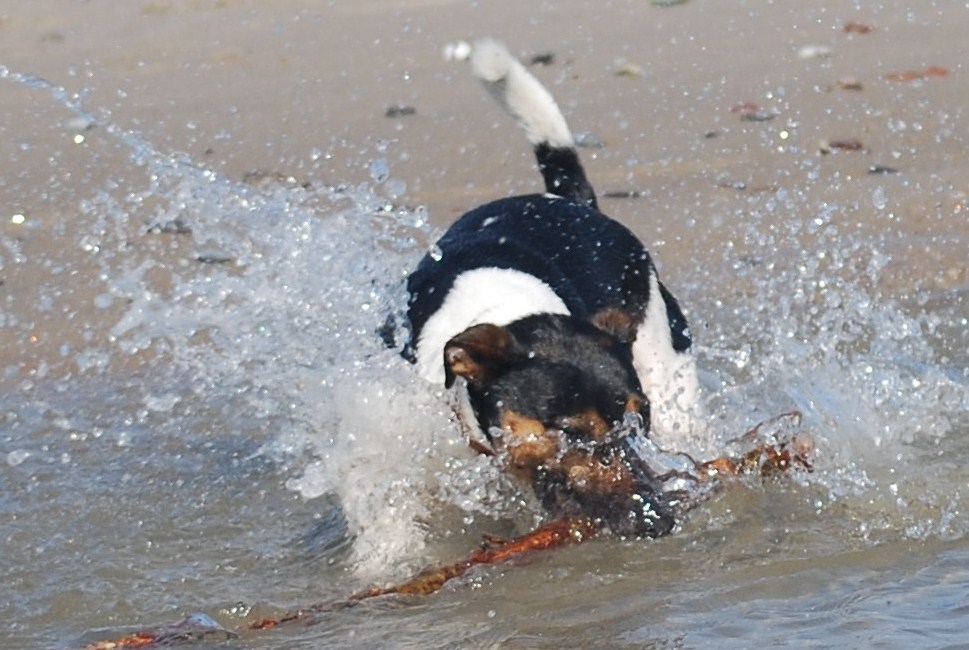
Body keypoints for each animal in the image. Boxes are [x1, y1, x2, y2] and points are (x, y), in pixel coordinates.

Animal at [404, 40, 700, 536]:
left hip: (671, 369)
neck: (508, 306)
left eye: (639, 422)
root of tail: (572, 203)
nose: (656, 518)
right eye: (572, 431)